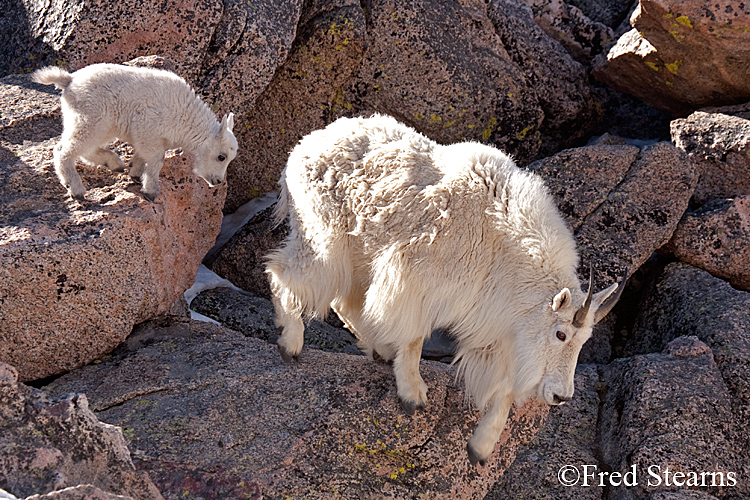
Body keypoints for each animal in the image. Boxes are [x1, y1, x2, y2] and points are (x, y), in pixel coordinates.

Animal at [31, 64, 238, 201]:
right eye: (221, 157)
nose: (217, 181)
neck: (187, 121)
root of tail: (69, 80)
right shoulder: (148, 128)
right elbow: (157, 160)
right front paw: (151, 191)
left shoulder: (147, 136)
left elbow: (141, 156)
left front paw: (136, 173)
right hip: (91, 120)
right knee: (64, 149)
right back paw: (76, 189)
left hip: (98, 125)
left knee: (85, 149)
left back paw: (114, 163)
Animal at [268, 115, 624, 466]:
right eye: (561, 334)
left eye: (584, 341)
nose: (560, 396)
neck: (502, 241)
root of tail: (302, 147)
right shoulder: (413, 278)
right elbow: (414, 338)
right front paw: (413, 395)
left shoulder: (500, 325)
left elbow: (503, 389)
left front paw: (480, 448)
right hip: (324, 235)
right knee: (283, 273)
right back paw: (291, 343)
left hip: (358, 251)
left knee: (345, 301)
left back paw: (378, 349)